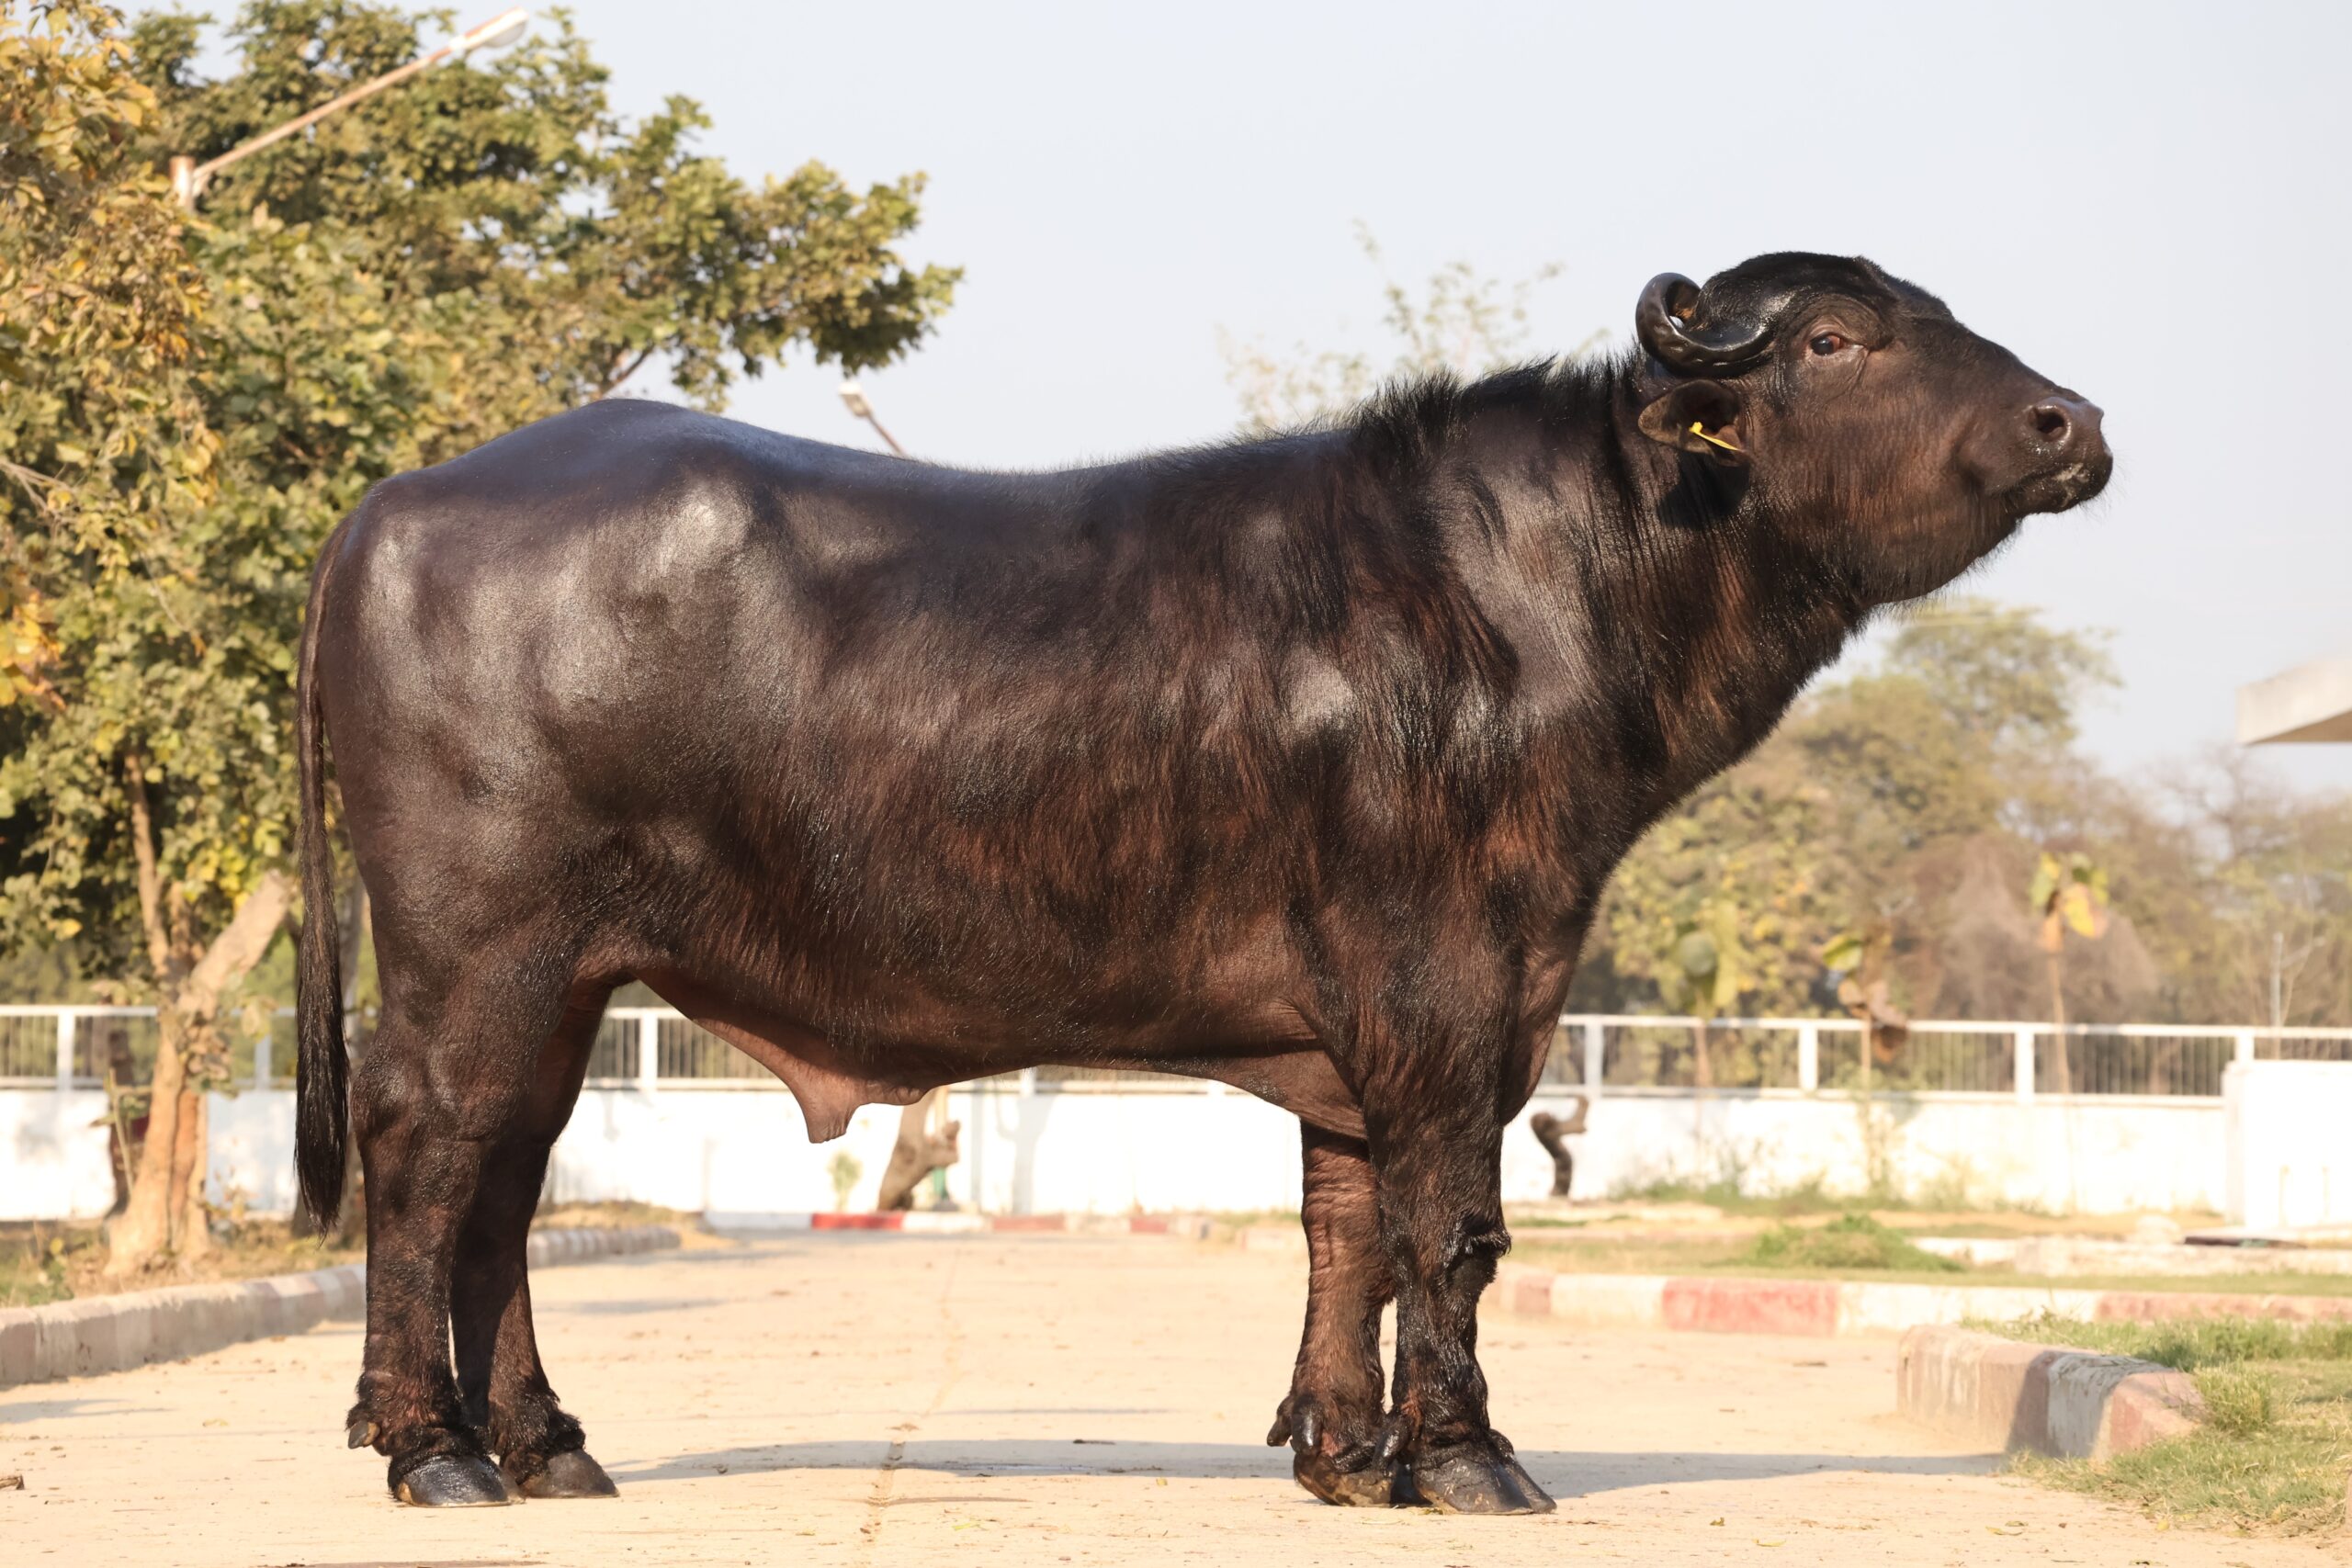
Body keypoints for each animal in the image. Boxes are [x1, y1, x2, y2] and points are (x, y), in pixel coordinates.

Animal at [293, 252, 2109, 1514]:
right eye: (1834, 339)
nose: (2070, 423)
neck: (1529, 593)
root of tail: (394, 504)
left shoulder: (1383, 1017)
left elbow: (1346, 1223)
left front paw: (1345, 1450)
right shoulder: (1453, 991)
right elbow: (1452, 1226)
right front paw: (1469, 1458)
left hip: (565, 974)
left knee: (503, 1182)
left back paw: (542, 1443)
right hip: (475, 945)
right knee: (423, 1149)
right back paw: (426, 1447)